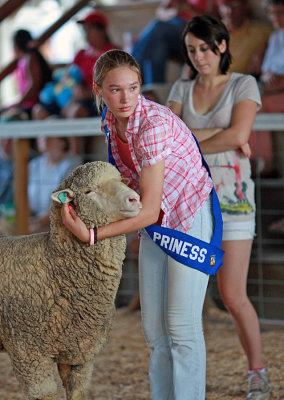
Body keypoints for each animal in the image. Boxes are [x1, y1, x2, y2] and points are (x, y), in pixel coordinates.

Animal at [0, 161, 142, 398]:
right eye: (88, 191)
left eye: (120, 180)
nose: (134, 199)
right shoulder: (28, 353)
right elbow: (45, 393)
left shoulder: (80, 353)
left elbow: (76, 391)